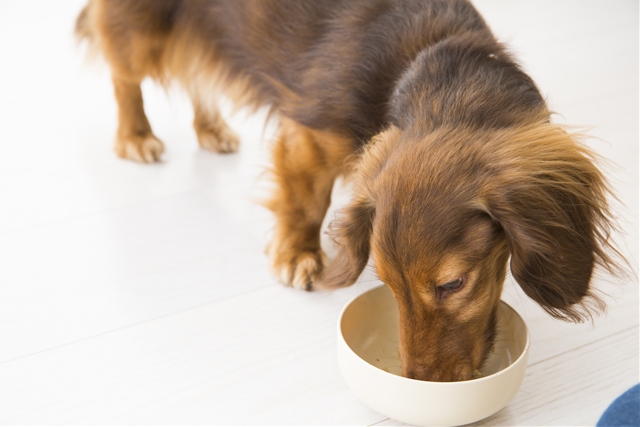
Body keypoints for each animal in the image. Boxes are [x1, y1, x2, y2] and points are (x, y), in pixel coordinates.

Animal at [77, 0, 624, 382]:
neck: (428, 57)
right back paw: (136, 135)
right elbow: (305, 199)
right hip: (142, 32)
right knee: (125, 76)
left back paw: (211, 128)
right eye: (384, 280)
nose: (420, 381)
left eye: (452, 285)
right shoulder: (310, 135)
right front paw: (297, 255)